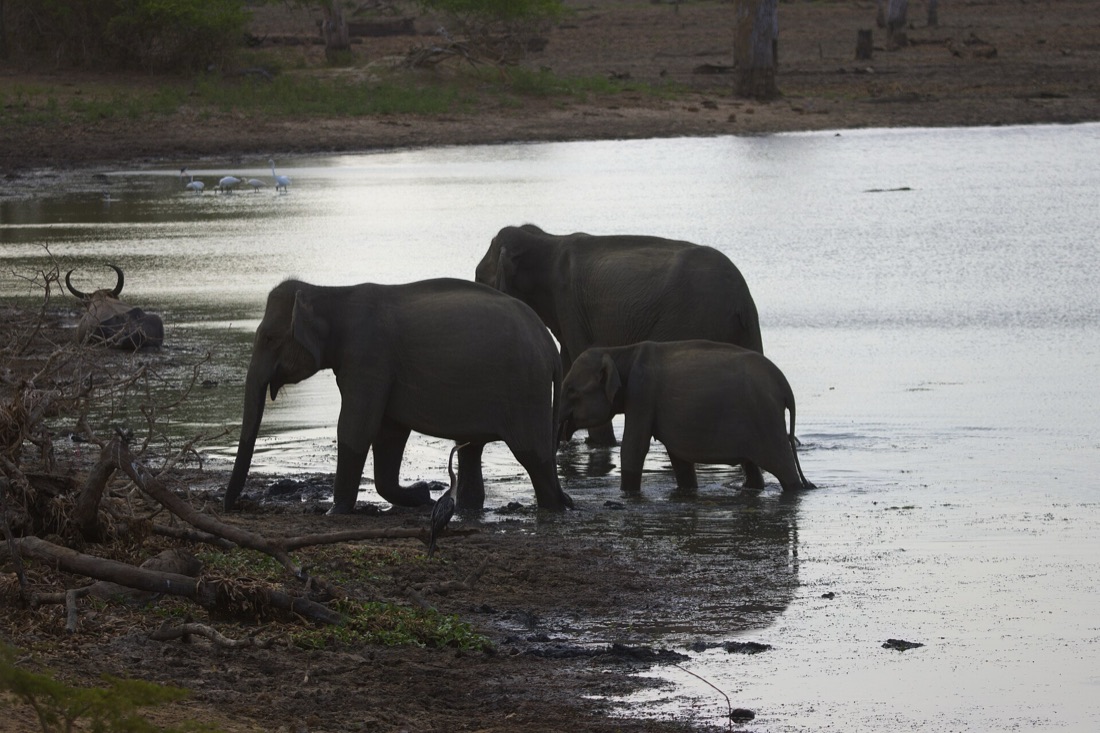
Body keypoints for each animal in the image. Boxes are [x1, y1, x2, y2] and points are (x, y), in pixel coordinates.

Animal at [223, 277, 573, 514]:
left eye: (269, 338)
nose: (232, 505)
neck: (330, 292)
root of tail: (548, 345)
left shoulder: (368, 358)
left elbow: (356, 428)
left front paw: (334, 512)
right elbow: (389, 432)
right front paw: (420, 495)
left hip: (525, 387)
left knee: (532, 453)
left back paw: (556, 506)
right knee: (472, 450)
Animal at [474, 224, 763, 452]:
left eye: (481, 279)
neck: (544, 240)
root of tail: (741, 299)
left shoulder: (569, 303)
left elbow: (579, 355)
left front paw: (600, 445)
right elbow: (567, 361)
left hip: (693, 317)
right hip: (745, 328)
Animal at [558, 340, 815, 494]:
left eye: (571, 391)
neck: (620, 351)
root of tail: (785, 387)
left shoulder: (641, 394)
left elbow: (633, 448)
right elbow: (679, 457)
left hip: (766, 420)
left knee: (783, 468)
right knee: (752, 467)